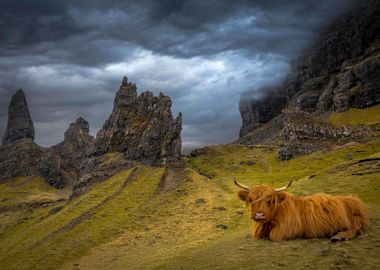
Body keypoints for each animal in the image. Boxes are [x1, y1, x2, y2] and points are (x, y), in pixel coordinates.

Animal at [235, 178, 368, 242]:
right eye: (251, 200)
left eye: (271, 200)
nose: (259, 215)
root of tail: (355, 199)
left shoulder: (286, 230)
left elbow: (273, 236)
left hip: (354, 220)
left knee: (355, 229)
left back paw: (337, 237)